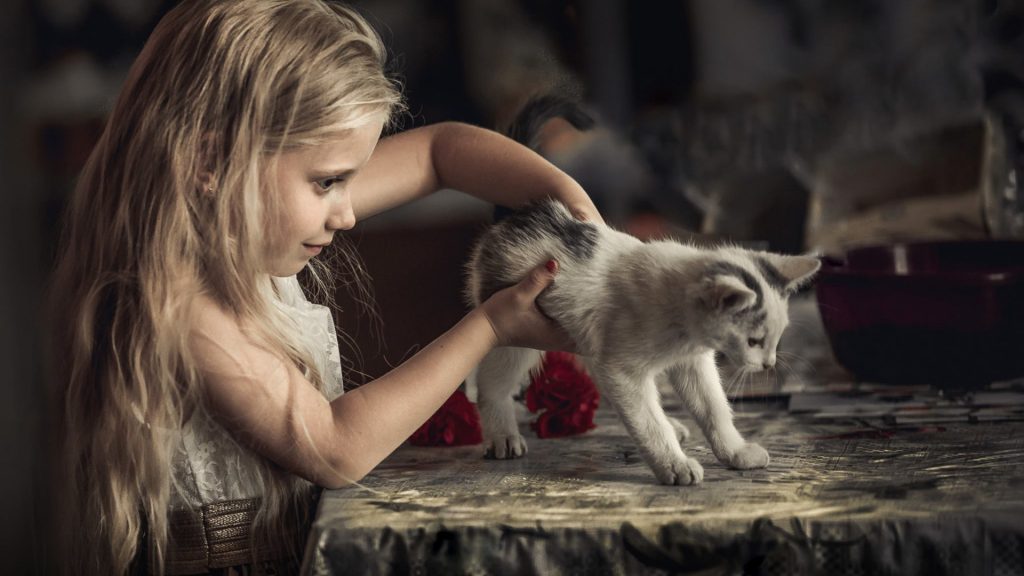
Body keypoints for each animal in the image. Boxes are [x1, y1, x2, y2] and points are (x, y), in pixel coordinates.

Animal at [468, 199, 819, 481]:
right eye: (754, 341)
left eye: (776, 338)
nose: (769, 364)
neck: (684, 326)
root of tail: (519, 216)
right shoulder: (622, 369)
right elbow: (649, 422)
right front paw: (675, 467)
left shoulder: (692, 362)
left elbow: (713, 408)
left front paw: (735, 452)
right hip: (517, 332)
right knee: (491, 387)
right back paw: (502, 436)